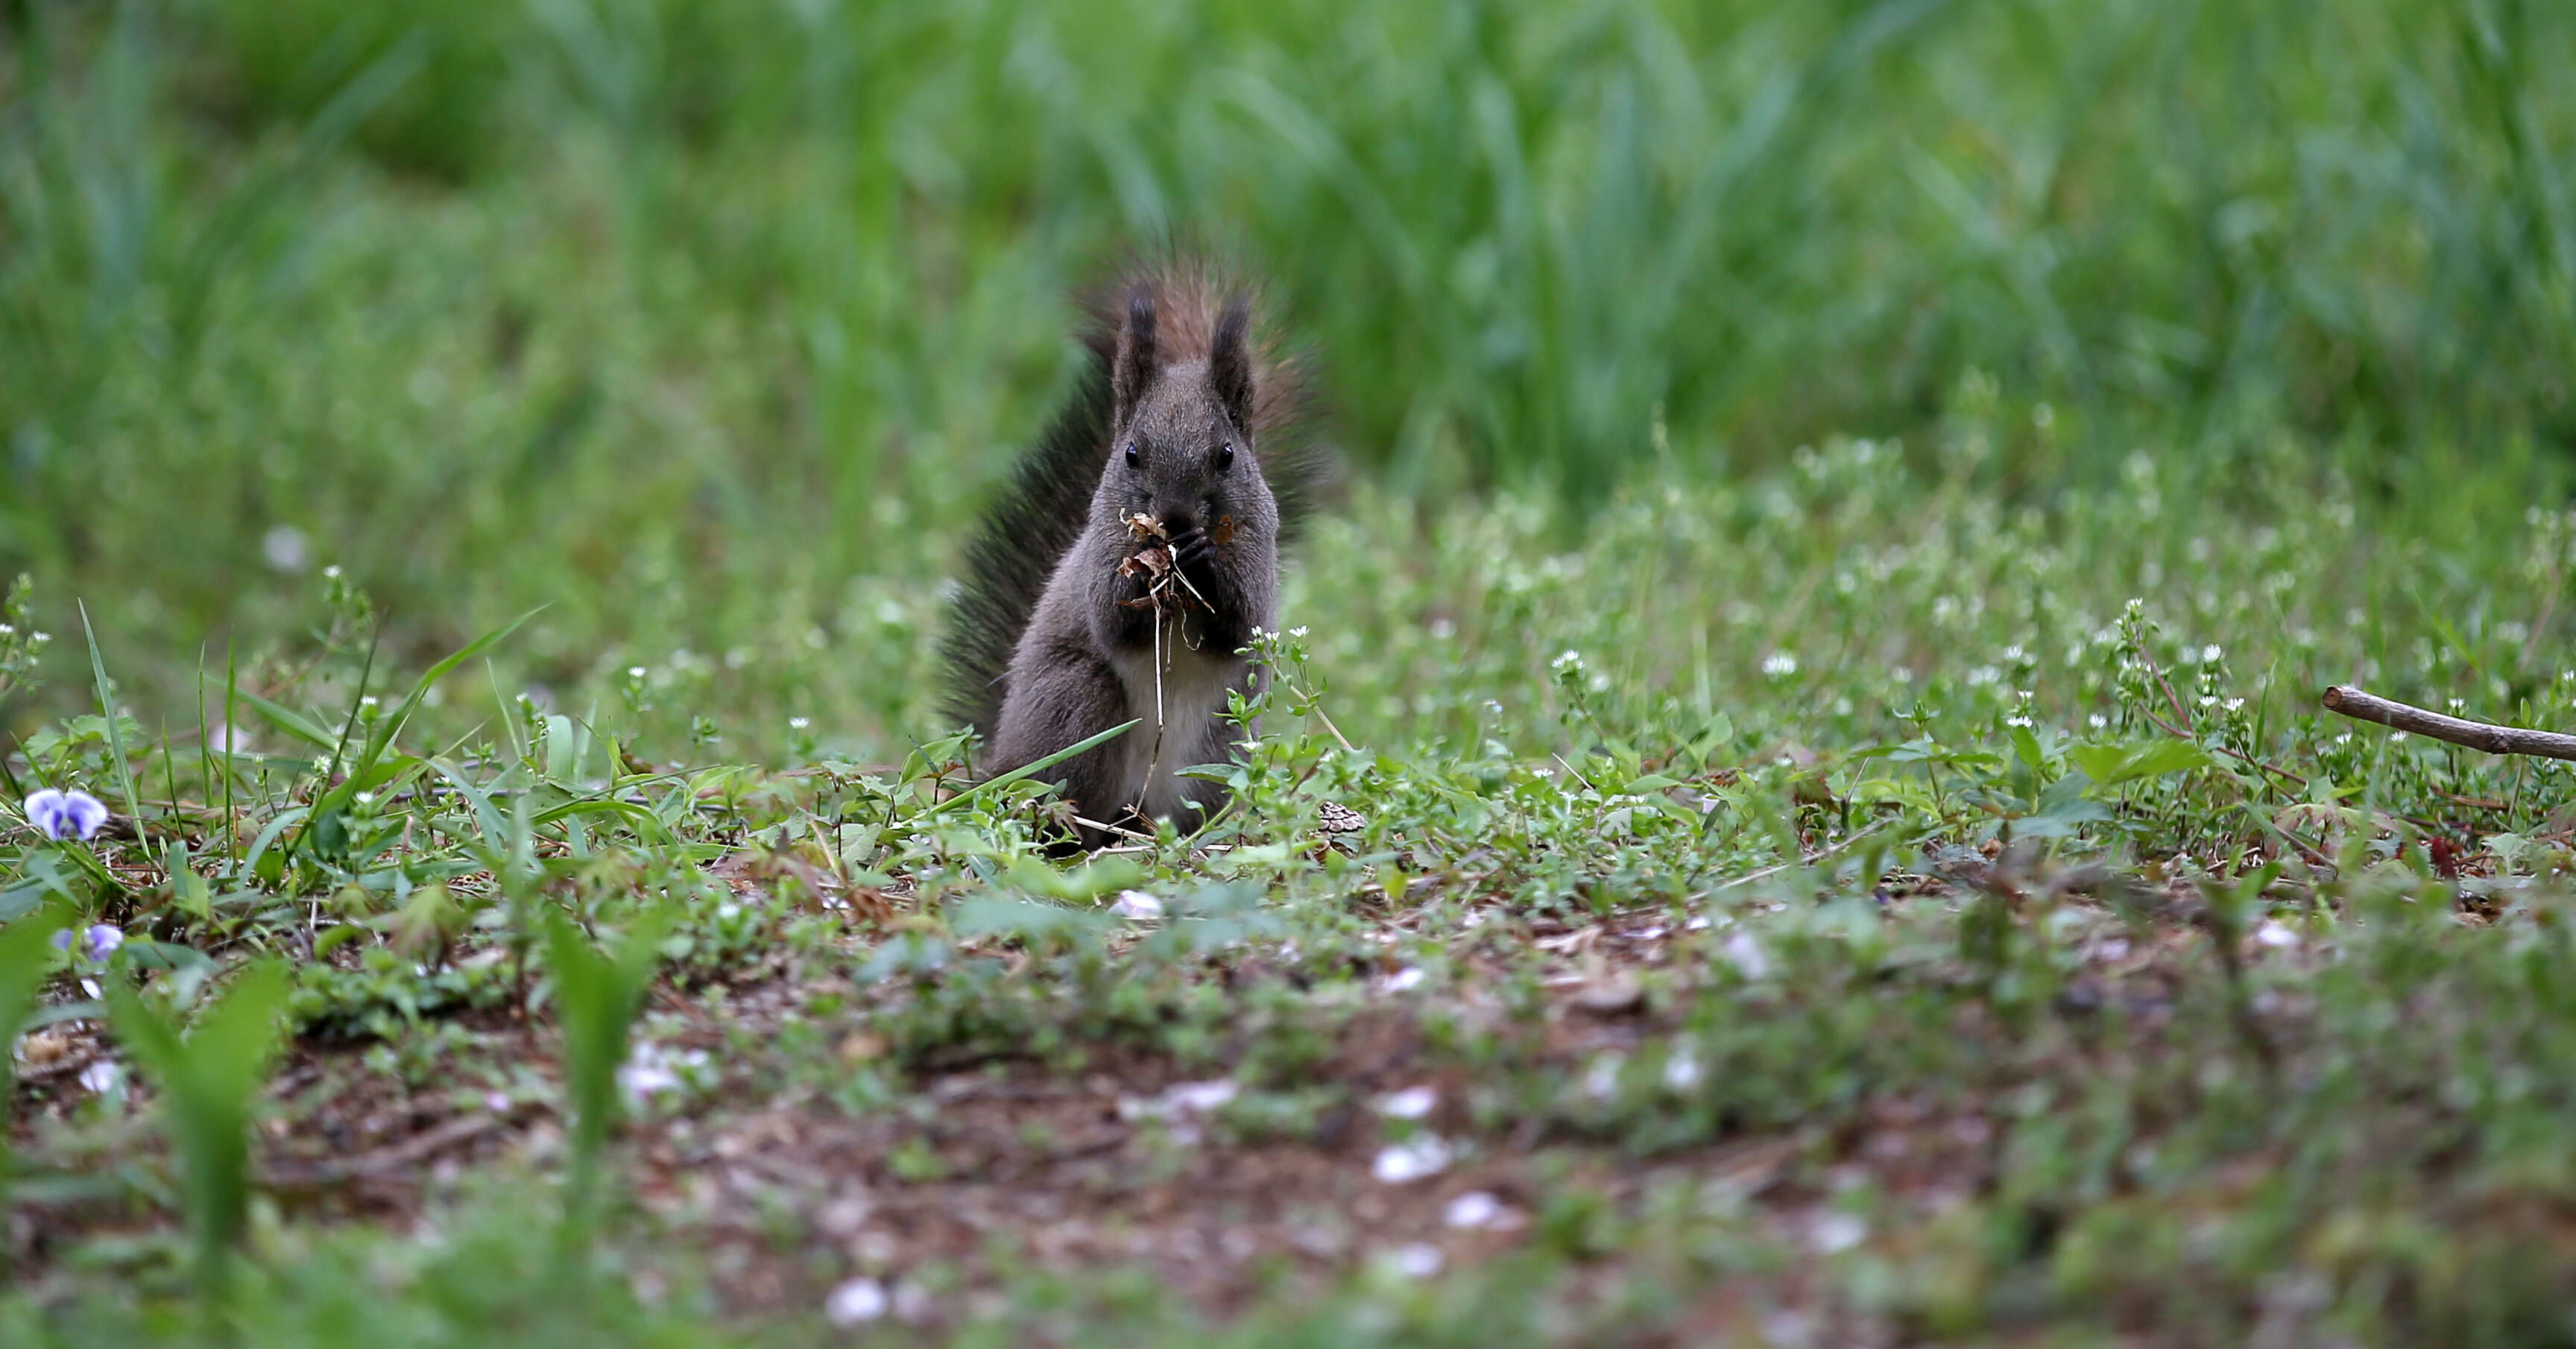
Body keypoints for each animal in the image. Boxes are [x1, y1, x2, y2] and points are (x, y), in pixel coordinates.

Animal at [942, 262, 1329, 844]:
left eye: (1226, 455)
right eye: (1130, 454)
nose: (1174, 517)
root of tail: (1000, 764)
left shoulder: (1261, 551)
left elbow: (1240, 624)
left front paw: (1201, 560)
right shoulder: (1101, 549)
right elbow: (1111, 619)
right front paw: (1153, 559)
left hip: (1220, 745)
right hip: (1078, 707)